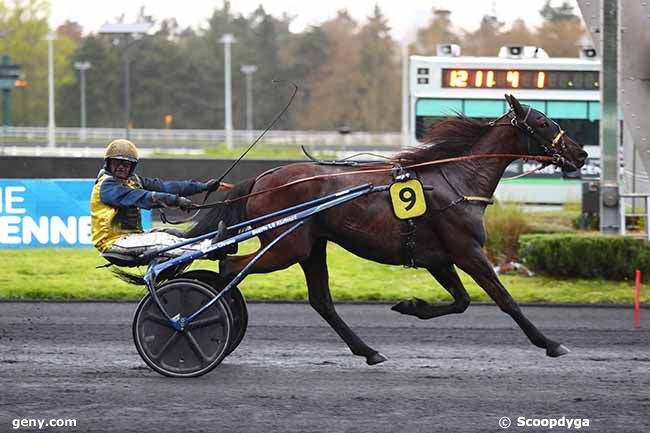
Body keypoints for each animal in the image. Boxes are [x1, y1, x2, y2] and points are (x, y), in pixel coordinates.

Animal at [182, 94, 588, 364]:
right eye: (543, 122)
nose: (580, 153)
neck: (459, 179)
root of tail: (263, 178)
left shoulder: (438, 258)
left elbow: (461, 301)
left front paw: (411, 306)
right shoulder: (467, 252)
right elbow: (505, 300)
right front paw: (550, 343)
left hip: (311, 246)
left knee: (321, 301)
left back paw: (368, 350)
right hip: (287, 247)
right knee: (229, 267)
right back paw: (196, 317)